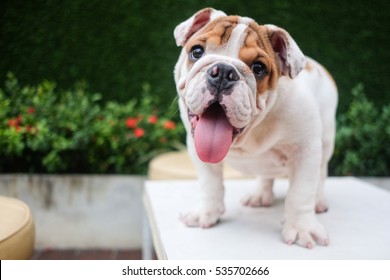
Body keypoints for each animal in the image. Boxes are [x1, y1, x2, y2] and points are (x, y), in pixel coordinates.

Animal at [174, 7, 338, 248]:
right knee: (266, 173)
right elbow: (210, 184)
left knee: (321, 174)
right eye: (196, 51)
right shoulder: (197, 149)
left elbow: (301, 192)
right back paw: (260, 195)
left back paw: (318, 200)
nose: (223, 71)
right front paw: (207, 213)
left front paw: (302, 228)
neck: (252, 133)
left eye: (258, 68)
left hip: (325, 142)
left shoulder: (305, 150)